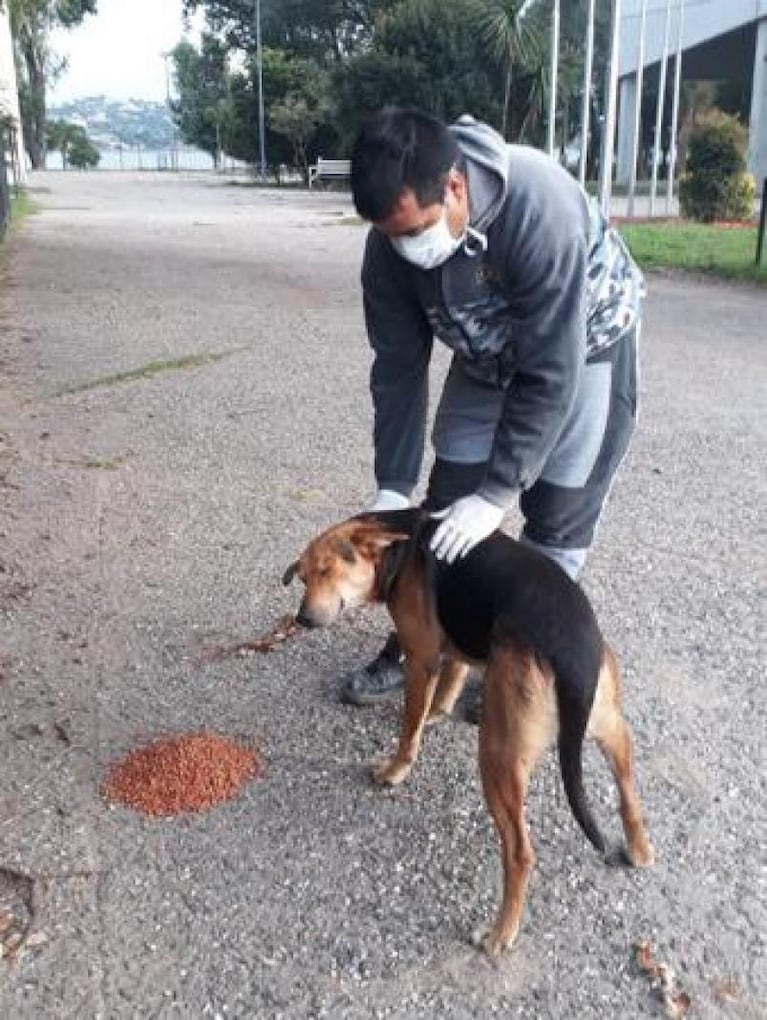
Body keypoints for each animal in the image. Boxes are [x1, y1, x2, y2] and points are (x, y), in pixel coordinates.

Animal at [281, 510, 652, 954]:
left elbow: (410, 728)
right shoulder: (454, 646)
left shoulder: (421, 658)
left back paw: (500, 933)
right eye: (303, 577)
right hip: (610, 726)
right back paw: (640, 848)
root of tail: (572, 653)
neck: (403, 547)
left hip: (497, 756)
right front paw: (439, 712)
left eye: (326, 569)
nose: (302, 618)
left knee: (520, 854)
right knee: (628, 790)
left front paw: (396, 768)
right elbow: (451, 680)